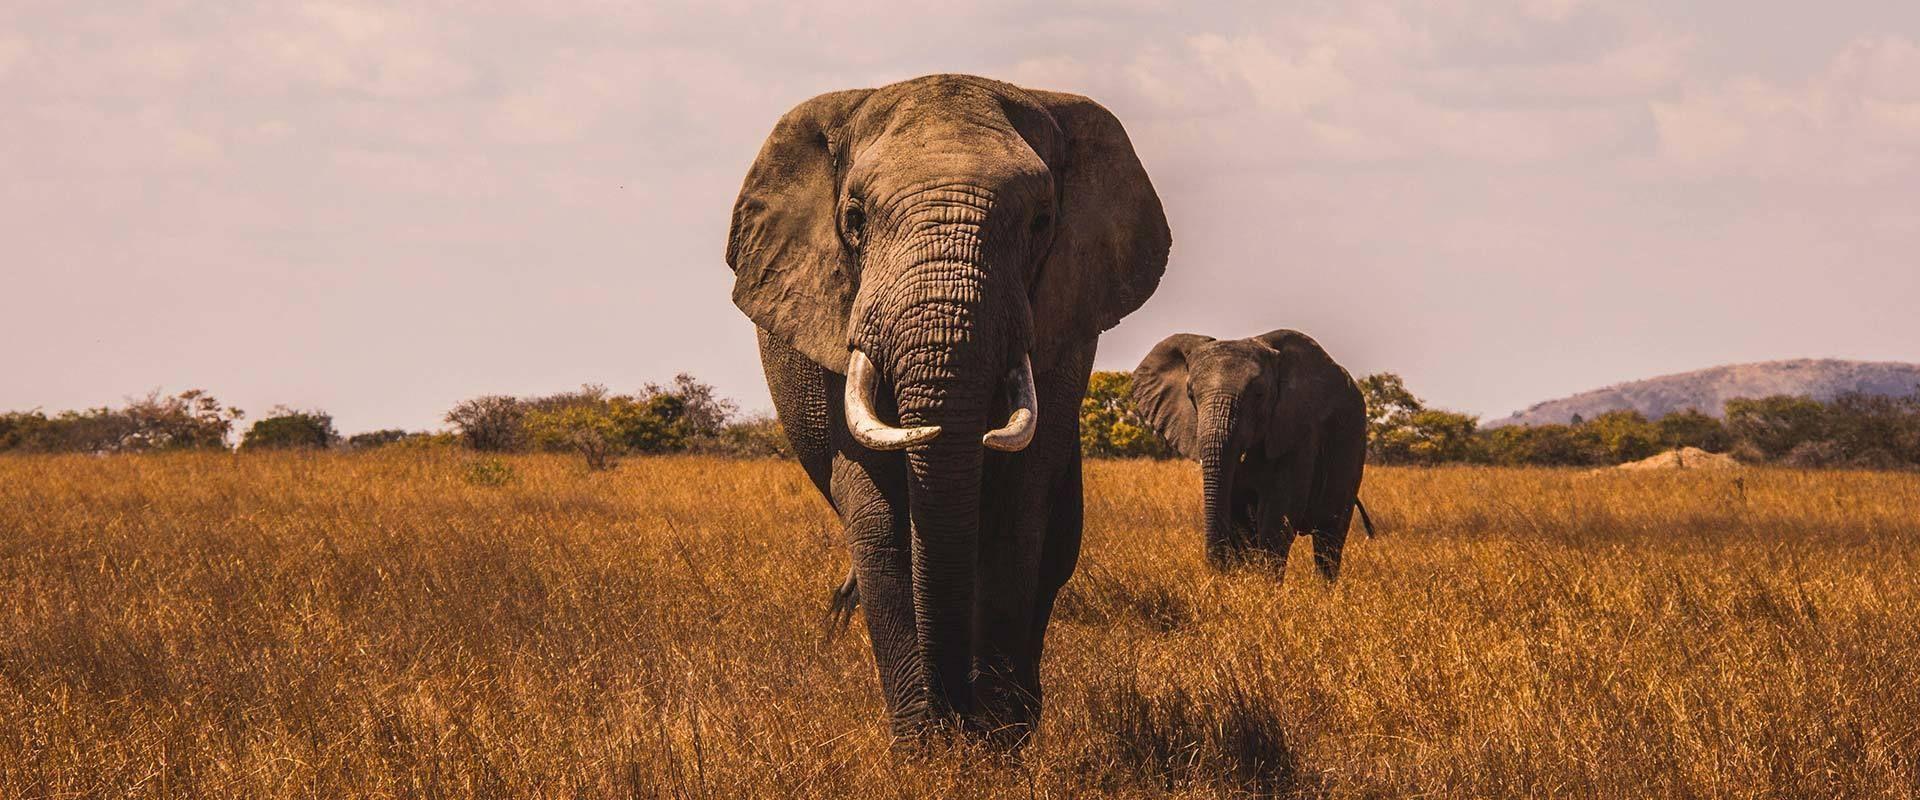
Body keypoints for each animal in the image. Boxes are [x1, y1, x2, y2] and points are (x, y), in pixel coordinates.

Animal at [724, 75, 1170, 744]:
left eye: (1042, 222)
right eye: (854, 219)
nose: (956, 714)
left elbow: (1018, 508)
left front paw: (997, 740)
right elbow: (879, 518)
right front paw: (925, 746)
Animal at [1130, 330, 1373, 576]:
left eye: (1259, 394)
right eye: (1190, 395)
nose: (1217, 569)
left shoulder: (1299, 431)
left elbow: (1278, 516)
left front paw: (1264, 584)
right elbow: (1239, 517)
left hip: (1352, 445)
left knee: (1329, 537)